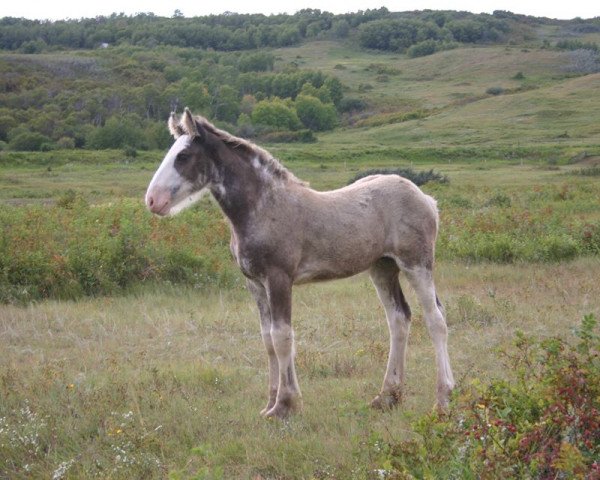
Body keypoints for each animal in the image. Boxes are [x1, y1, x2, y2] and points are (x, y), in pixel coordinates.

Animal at [146, 109, 454, 420]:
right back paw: (388, 396)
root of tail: (426, 198)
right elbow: (267, 340)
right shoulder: (255, 283)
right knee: (399, 319)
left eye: (183, 155)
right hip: (382, 267)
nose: (152, 200)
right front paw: (270, 403)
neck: (264, 206)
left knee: (435, 320)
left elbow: (282, 337)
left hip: (416, 263)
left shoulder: (279, 278)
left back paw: (442, 399)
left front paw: (286, 405)